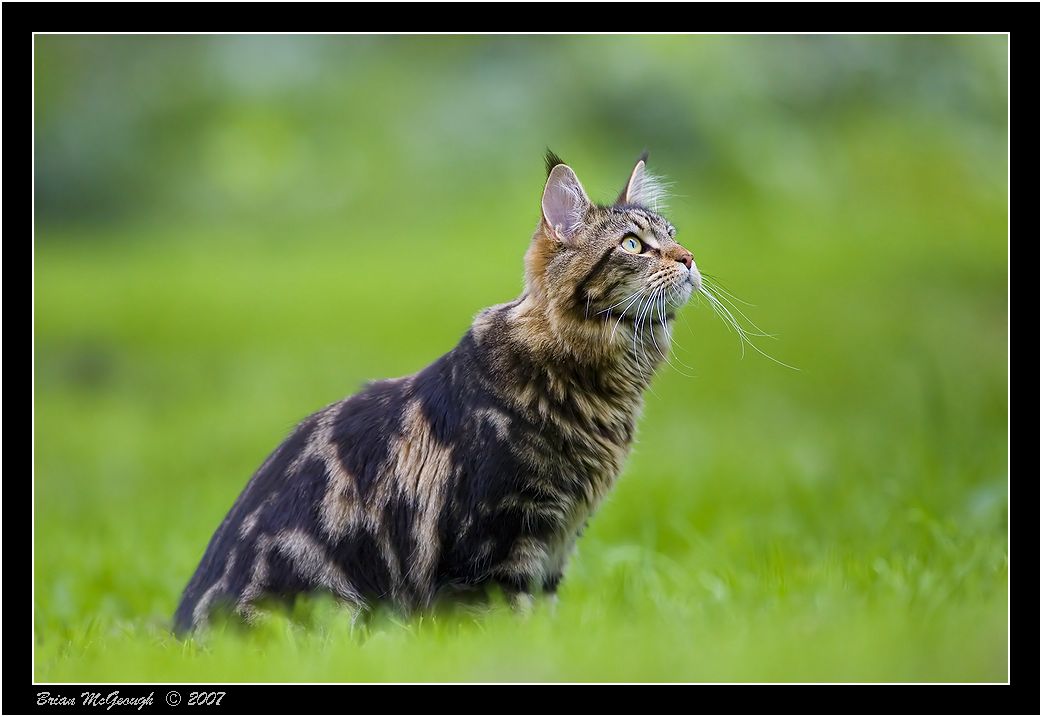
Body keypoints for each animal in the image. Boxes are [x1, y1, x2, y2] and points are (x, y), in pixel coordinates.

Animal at [172, 151, 700, 633]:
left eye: (673, 236)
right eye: (632, 244)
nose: (689, 259)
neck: (594, 388)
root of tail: (181, 634)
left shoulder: (558, 543)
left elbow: (542, 618)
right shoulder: (496, 542)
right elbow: (507, 624)